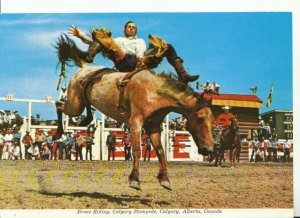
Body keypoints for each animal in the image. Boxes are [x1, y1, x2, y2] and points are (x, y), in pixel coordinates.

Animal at [53, 35, 213, 189]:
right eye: (200, 119)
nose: (209, 149)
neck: (154, 92)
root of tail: (84, 68)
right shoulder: (136, 121)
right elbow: (136, 150)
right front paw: (135, 179)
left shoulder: (153, 126)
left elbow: (160, 151)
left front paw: (164, 179)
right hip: (74, 105)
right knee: (59, 104)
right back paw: (58, 133)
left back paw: (85, 120)